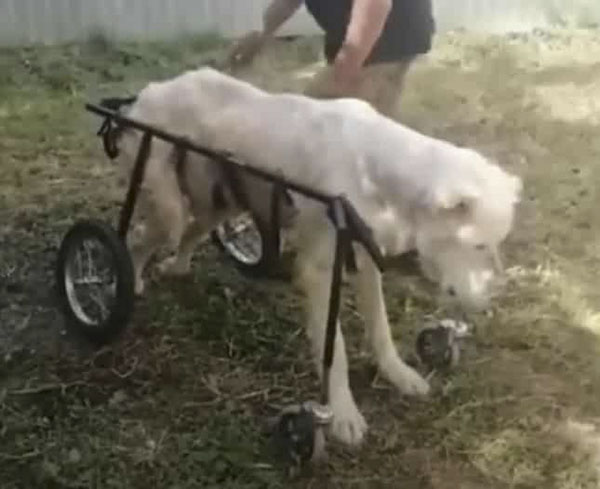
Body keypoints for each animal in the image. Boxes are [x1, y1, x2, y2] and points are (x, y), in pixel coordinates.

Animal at [111, 68, 520, 446]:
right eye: (478, 246)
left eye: (495, 244)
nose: (490, 302)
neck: (377, 168)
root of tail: (150, 91)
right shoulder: (320, 271)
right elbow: (334, 351)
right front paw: (341, 414)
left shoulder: (366, 262)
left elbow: (381, 329)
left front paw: (398, 373)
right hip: (169, 207)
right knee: (138, 240)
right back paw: (129, 280)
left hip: (217, 203)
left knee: (189, 233)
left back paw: (177, 267)